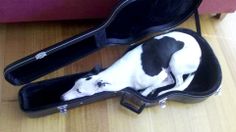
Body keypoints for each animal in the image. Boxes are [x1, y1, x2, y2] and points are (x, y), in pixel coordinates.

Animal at [60, 31, 201, 101]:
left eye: (79, 91)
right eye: (74, 84)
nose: (61, 97)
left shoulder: (159, 76)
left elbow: (149, 88)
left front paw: (146, 92)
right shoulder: (163, 74)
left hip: (175, 60)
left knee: (177, 83)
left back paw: (163, 91)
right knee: (171, 80)